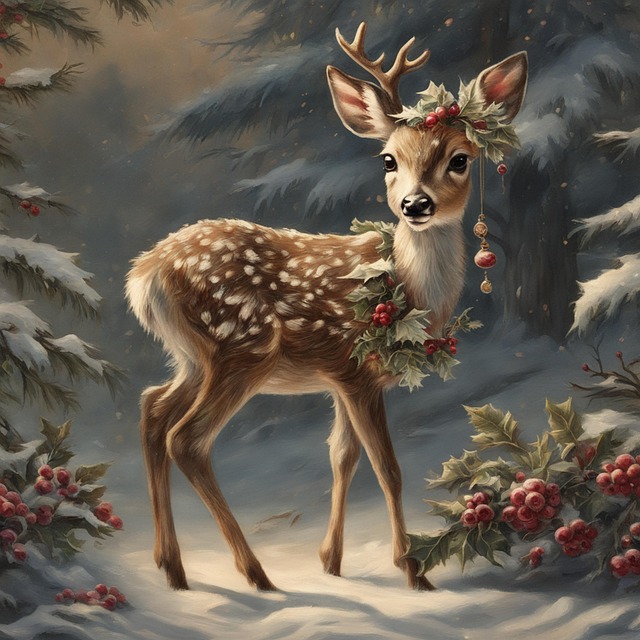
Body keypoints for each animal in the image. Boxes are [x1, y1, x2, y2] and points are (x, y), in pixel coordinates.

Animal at [125, 22, 528, 593]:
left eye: (460, 159)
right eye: (388, 159)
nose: (416, 204)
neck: (408, 291)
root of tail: (145, 275)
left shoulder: (336, 378)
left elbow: (342, 456)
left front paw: (331, 562)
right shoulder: (357, 373)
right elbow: (387, 467)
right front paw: (414, 572)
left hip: (191, 356)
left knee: (152, 409)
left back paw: (173, 567)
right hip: (241, 347)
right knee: (188, 439)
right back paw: (256, 574)